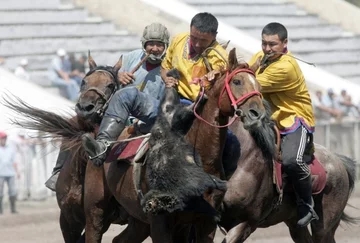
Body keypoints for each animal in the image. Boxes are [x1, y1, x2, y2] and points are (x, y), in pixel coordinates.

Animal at [217, 58, 358, 242]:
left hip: (324, 227)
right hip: (295, 225)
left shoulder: (246, 223)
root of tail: (339, 161)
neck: (242, 159)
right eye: (236, 81)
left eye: (257, 86)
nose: (254, 113)